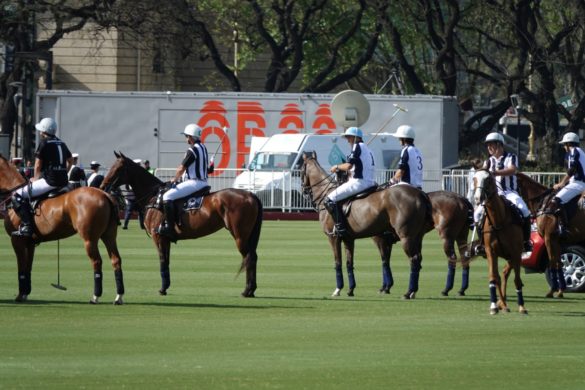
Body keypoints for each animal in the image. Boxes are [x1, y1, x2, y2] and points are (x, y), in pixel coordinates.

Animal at [0, 154, 123, 304]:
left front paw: (20, 294)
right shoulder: (30, 243)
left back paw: (95, 296)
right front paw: (25, 293)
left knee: (97, 261)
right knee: (116, 260)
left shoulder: (17, 240)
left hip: (89, 239)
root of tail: (105, 195)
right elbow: (28, 267)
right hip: (109, 235)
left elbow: (21, 268)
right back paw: (118, 297)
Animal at [101, 152, 262, 296]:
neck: (153, 198)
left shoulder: (158, 237)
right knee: (252, 256)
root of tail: (250, 194)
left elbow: (162, 261)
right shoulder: (165, 239)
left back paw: (247, 290)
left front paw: (162, 289)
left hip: (239, 235)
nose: (103, 187)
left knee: (248, 257)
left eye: (117, 169)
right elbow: (167, 261)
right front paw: (166, 286)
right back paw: (251, 290)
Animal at [298, 152, 432, 298]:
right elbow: (350, 263)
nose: (303, 191)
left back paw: (408, 292)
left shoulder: (333, 237)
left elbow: (338, 262)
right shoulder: (349, 238)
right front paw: (351, 289)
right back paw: (412, 291)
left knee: (413, 259)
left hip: (405, 236)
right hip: (416, 236)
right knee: (418, 259)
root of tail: (420, 194)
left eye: (300, 170)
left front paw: (338, 289)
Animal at [472, 169, 528, 316]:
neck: (498, 220)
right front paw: (494, 306)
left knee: (506, 273)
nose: (478, 199)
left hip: (514, 255)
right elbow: (493, 277)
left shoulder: (516, 252)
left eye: (488, 179)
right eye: (474, 179)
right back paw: (502, 304)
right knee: (501, 274)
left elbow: (517, 280)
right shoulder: (490, 251)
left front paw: (522, 307)